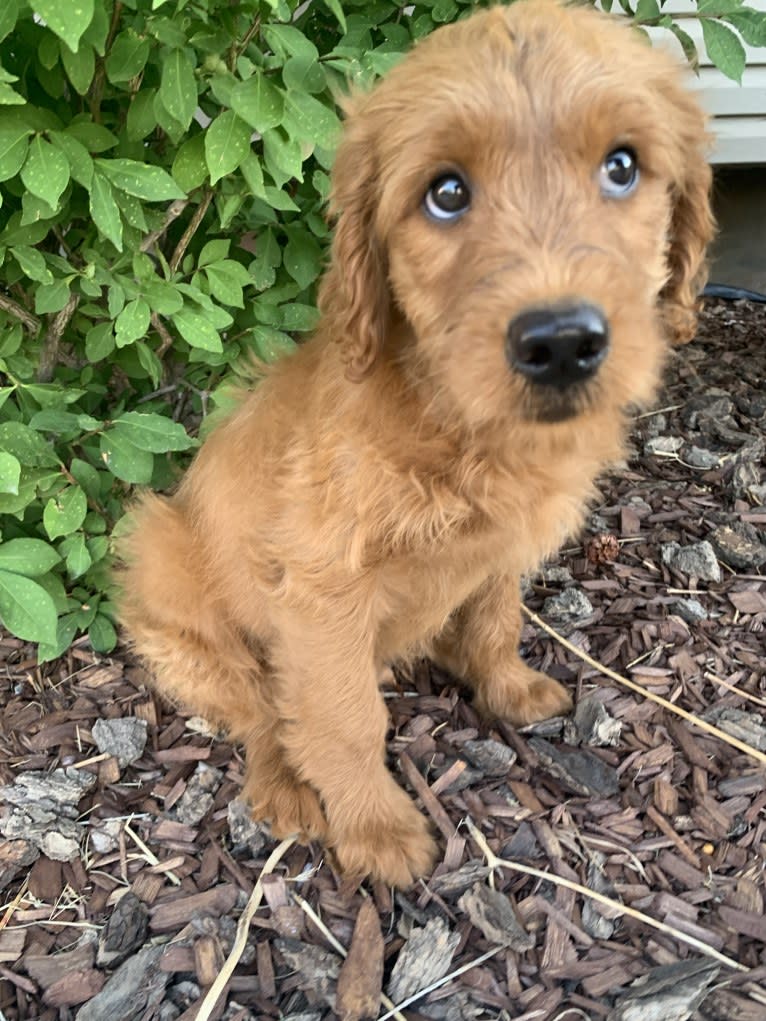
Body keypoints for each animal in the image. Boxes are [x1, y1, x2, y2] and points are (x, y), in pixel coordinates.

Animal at [118, 0, 714, 886]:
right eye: (446, 192)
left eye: (622, 166)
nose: (561, 343)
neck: (457, 421)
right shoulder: (322, 590)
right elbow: (343, 716)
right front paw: (376, 828)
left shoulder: (500, 545)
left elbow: (495, 618)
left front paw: (508, 688)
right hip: (168, 571)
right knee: (258, 708)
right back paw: (285, 786)